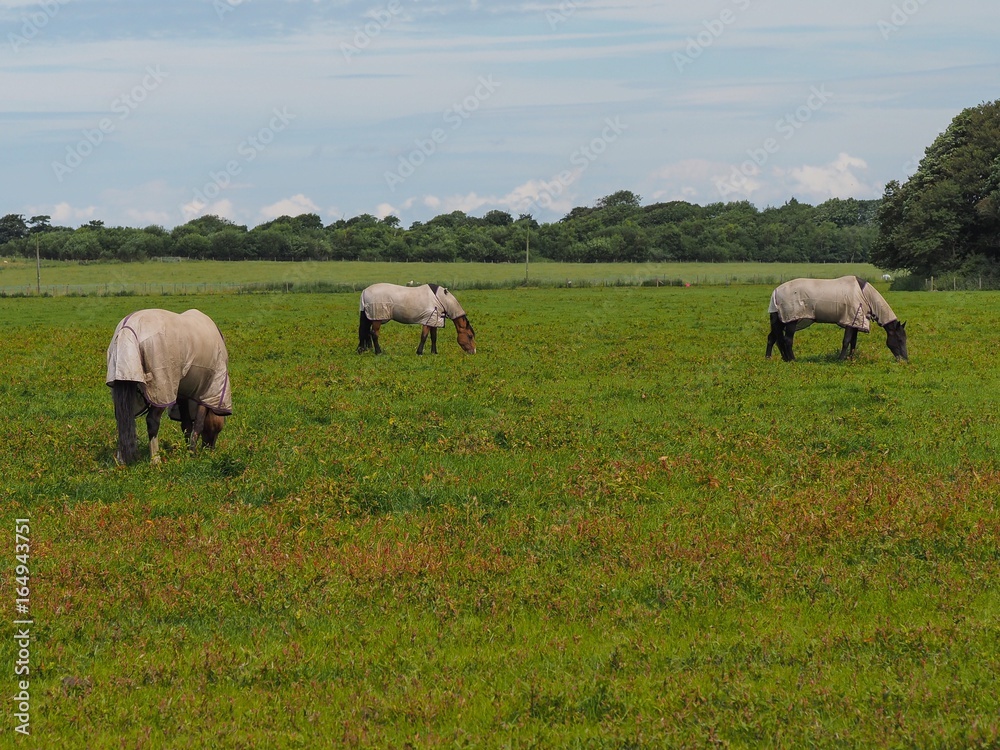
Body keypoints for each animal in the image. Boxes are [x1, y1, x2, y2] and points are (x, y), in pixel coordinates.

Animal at [106, 309, 232, 465]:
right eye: (219, 428)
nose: (210, 450)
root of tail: (126, 329)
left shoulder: (183, 392)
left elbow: (186, 424)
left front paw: (187, 450)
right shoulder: (206, 391)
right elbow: (198, 424)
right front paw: (192, 452)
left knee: (123, 419)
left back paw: (122, 459)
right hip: (161, 389)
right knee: (152, 421)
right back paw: (156, 459)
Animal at [766, 276, 908, 362]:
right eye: (900, 339)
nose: (905, 360)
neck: (864, 294)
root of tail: (775, 291)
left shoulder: (855, 321)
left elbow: (853, 342)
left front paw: (850, 358)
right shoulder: (850, 320)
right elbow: (846, 341)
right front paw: (840, 359)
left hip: (781, 321)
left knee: (773, 338)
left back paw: (772, 358)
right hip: (791, 320)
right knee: (787, 340)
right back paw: (792, 359)